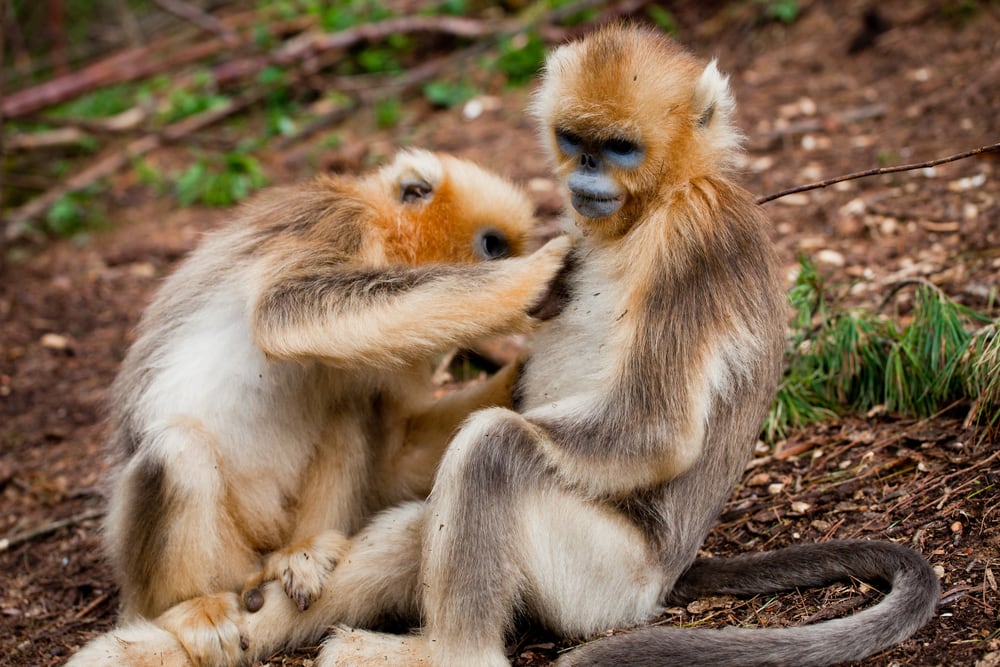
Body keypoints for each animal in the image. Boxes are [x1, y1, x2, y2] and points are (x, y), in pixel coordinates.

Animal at [65, 148, 570, 666]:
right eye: (493, 246)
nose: (512, 259)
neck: (383, 234)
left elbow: (396, 456)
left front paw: (520, 376)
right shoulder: (339, 221)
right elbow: (284, 312)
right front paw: (537, 274)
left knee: (350, 406)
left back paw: (302, 551)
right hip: (198, 562)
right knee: (176, 450)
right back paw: (190, 607)